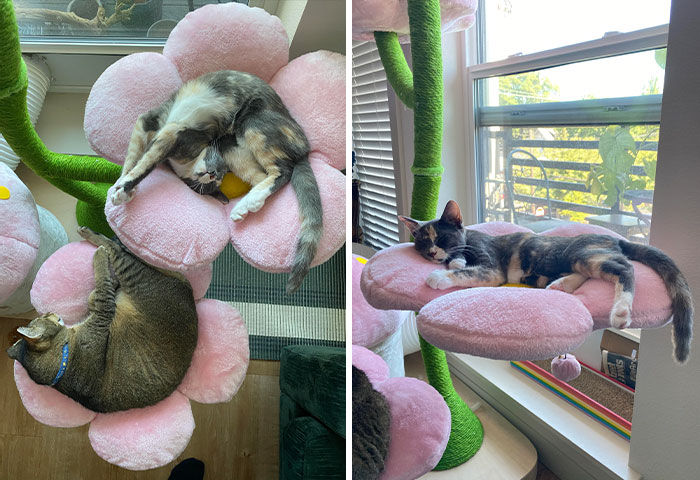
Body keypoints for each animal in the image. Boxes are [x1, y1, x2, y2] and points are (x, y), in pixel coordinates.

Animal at [7, 228, 200, 412]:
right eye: (46, 317)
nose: (49, 312)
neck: (63, 363)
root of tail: (190, 300)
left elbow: (95, 294)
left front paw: (111, 286)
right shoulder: (103, 311)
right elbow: (102, 287)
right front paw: (102, 264)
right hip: (136, 276)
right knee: (121, 253)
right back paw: (98, 239)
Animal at [109, 67, 322, 292]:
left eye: (216, 178)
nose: (212, 174)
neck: (185, 162)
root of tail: (304, 149)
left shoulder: (173, 133)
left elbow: (147, 163)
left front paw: (124, 189)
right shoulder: (148, 122)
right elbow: (133, 155)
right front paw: (123, 185)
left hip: (254, 122)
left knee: (282, 172)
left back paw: (249, 202)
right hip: (231, 146)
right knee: (260, 176)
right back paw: (246, 205)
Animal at [400, 201, 696, 362]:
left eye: (442, 238)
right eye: (422, 242)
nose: (431, 253)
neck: (468, 240)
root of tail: (615, 238)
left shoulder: (491, 266)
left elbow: (466, 271)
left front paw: (438, 276)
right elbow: (460, 264)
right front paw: (451, 264)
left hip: (583, 254)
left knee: (625, 268)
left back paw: (621, 311)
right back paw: (561, 285)